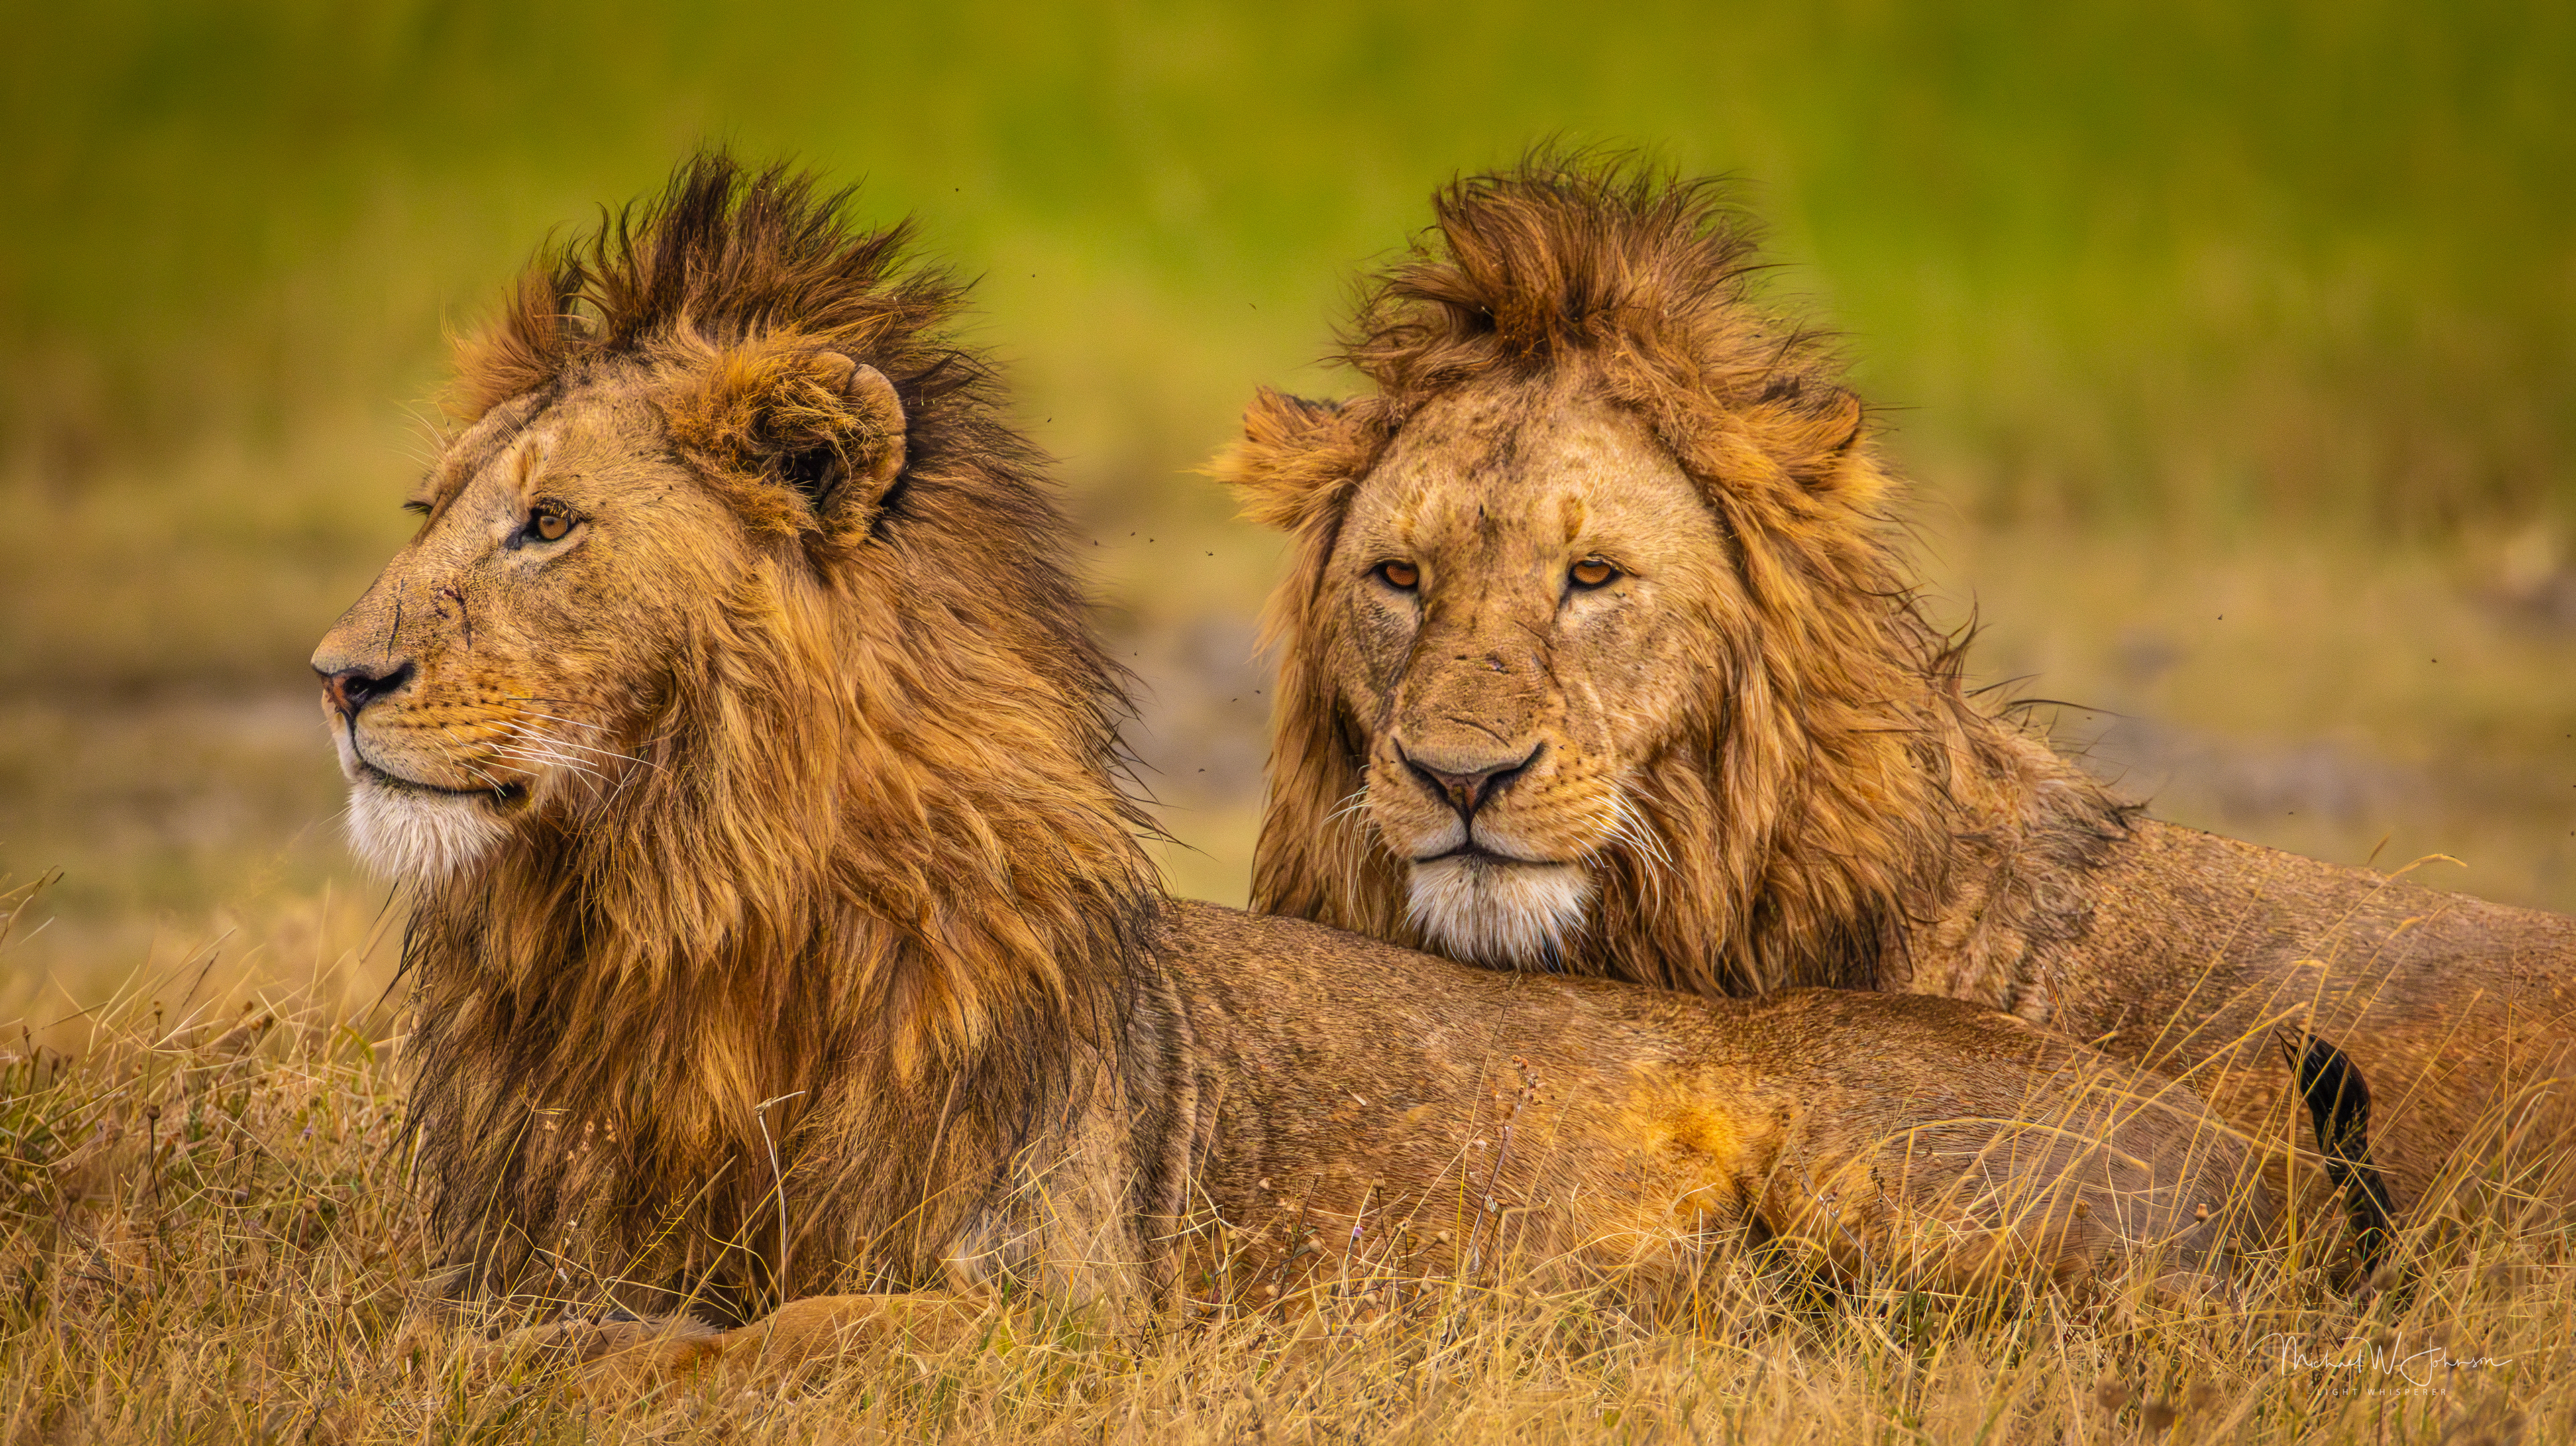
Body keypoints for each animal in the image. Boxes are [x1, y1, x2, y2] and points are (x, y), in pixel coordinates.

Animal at [312, 154, 2297, 1376]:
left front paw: (630, 1361)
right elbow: (457, 1330)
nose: (336, 676)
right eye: (431, 514)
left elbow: (765, 1346)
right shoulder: (503, 1246)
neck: (648, 909)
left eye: (548, 525)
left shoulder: (1058, 1315)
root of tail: (2254, 1142)